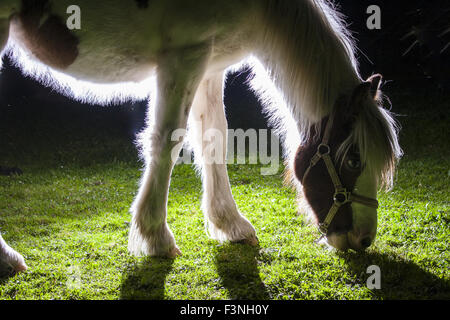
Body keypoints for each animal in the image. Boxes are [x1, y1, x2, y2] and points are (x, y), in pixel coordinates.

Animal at [0, 0, 400, 276]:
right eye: (353, 160)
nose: (363, 239)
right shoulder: (184, 54)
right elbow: (167, 140)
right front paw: (155, 237)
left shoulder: (209, 62)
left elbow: (214, 138)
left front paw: (229, 224)